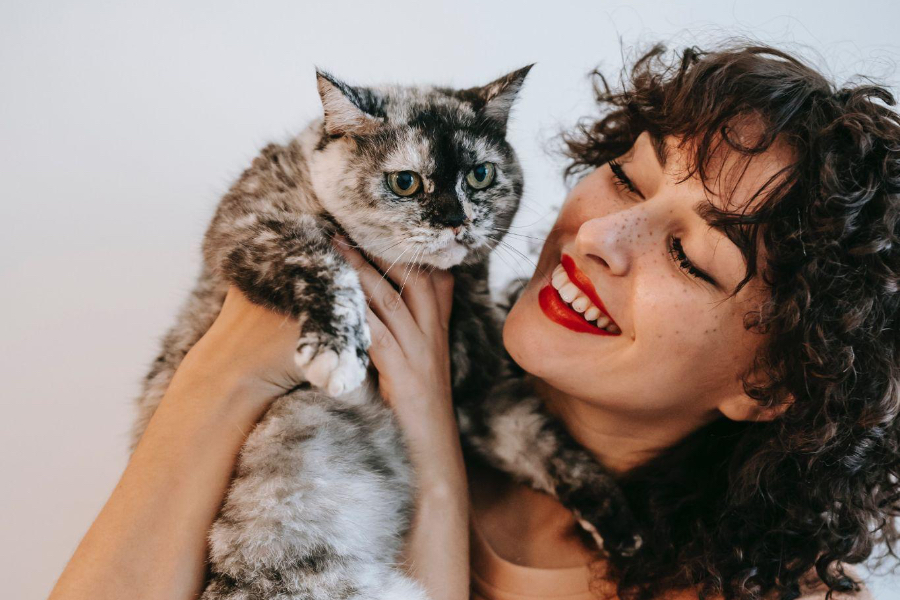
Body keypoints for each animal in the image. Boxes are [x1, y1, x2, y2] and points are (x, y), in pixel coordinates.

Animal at [132, 68, 640, 600]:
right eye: (405, 182)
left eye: (480, 175)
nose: (456, 221)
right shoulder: (252, 230)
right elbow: (324, 265)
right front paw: (337, 352)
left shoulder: (476, 390)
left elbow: (542, 444)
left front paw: (619, 524)